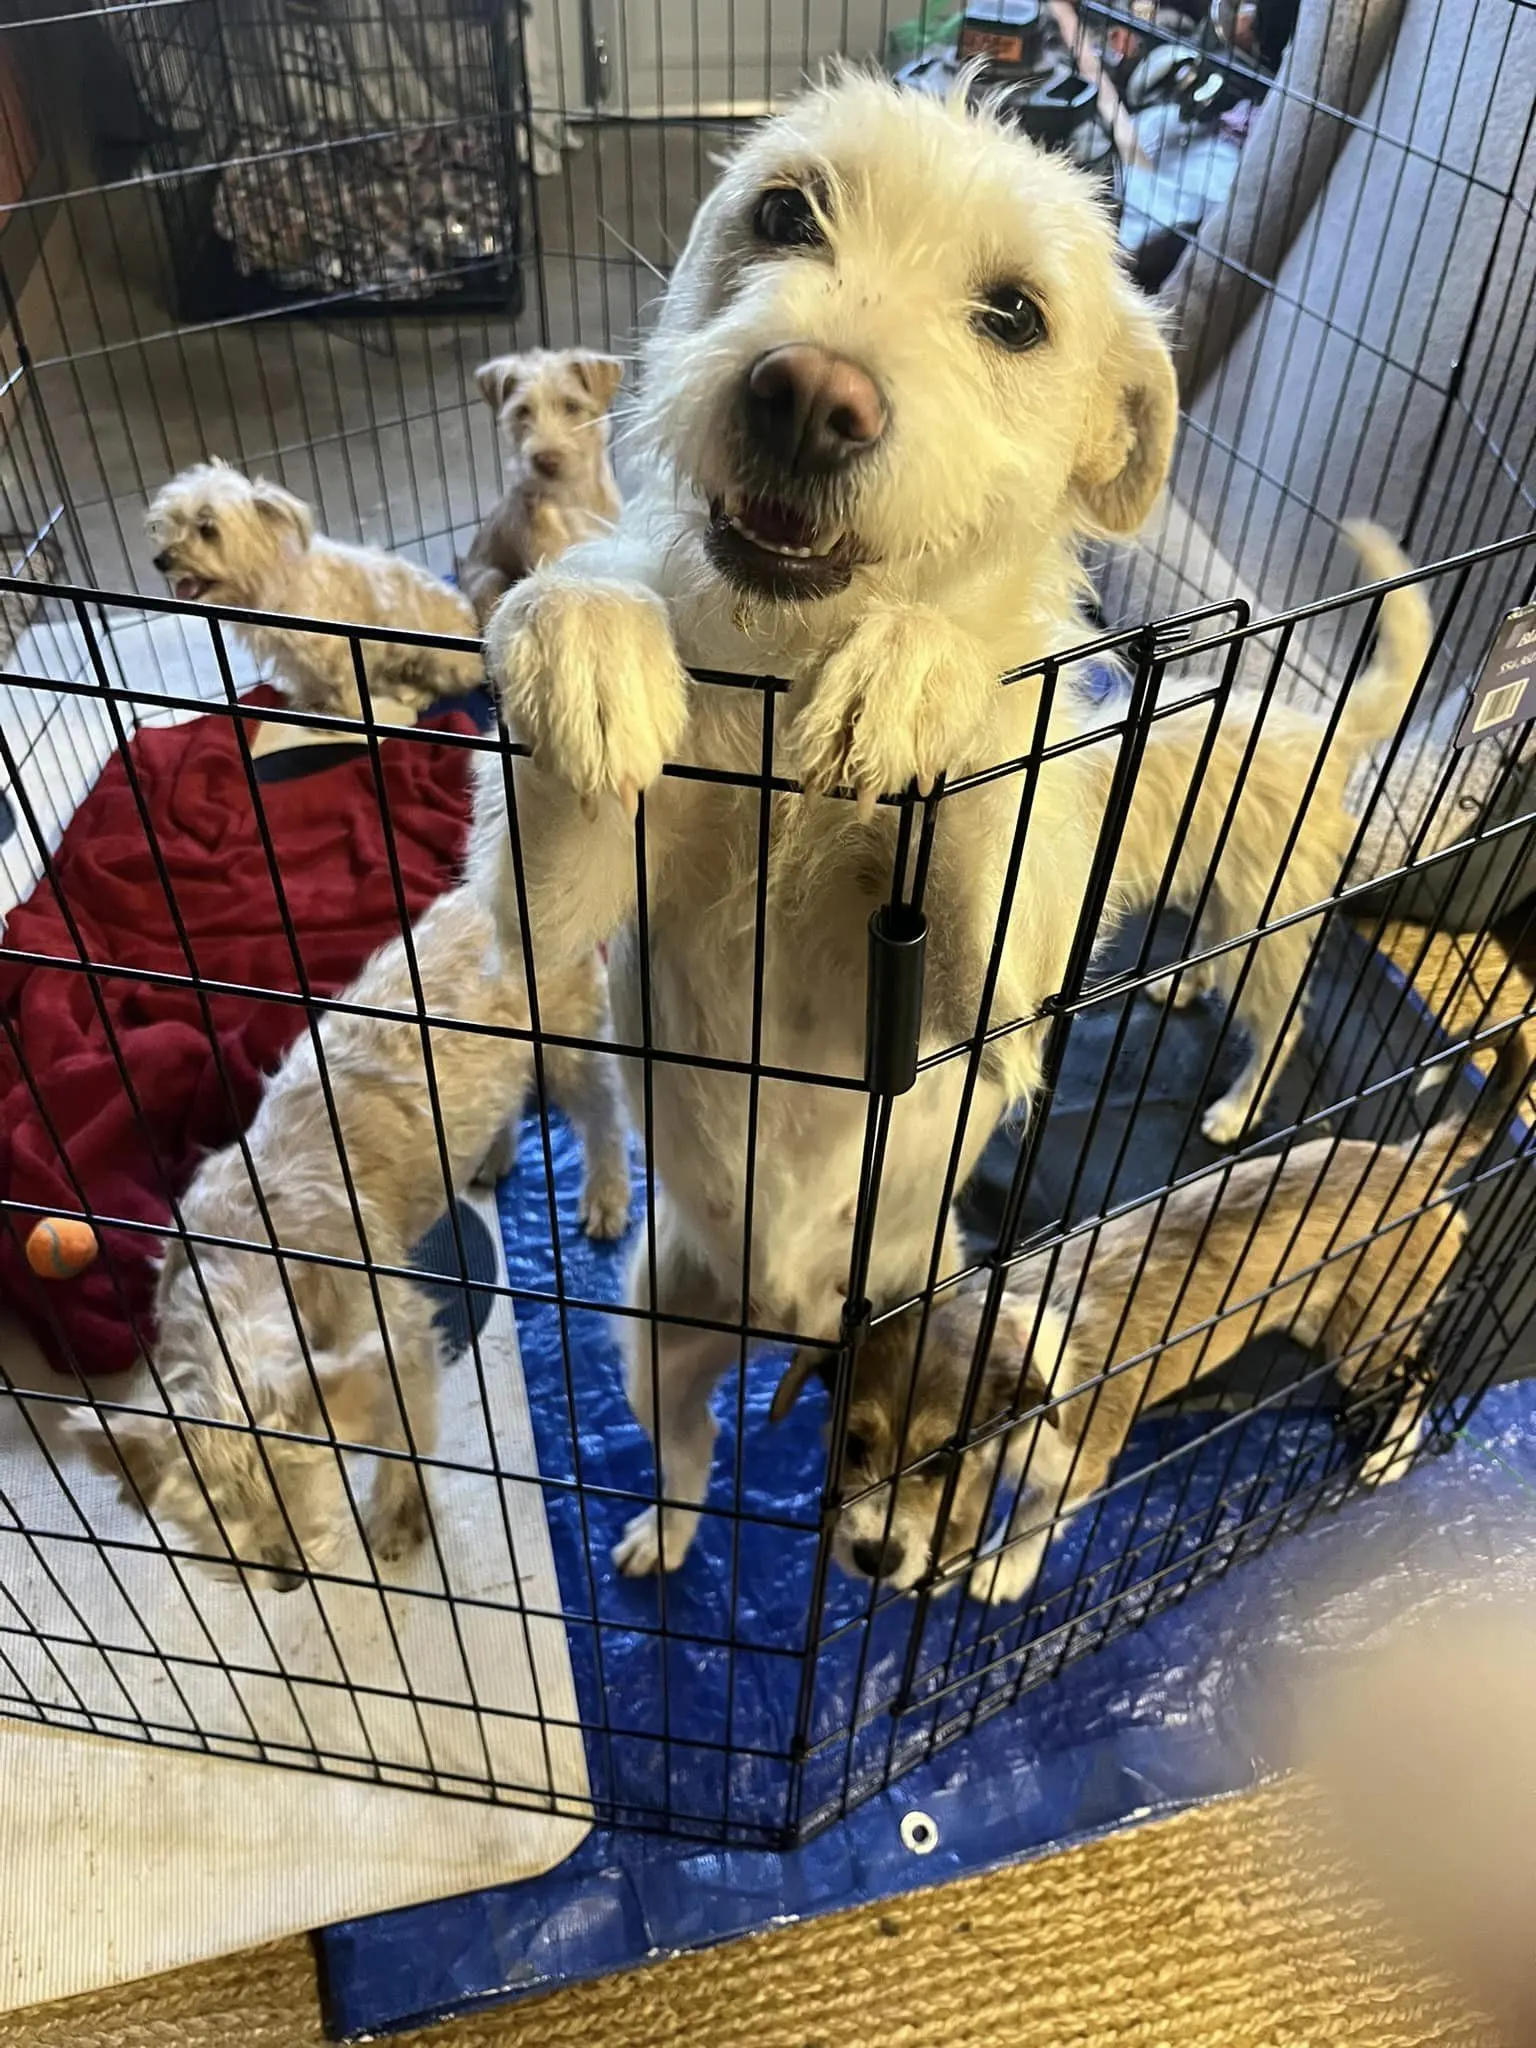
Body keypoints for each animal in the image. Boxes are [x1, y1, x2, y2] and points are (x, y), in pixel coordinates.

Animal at [69, 892, 532, 1581]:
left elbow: (405, 1425)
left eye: (299, 1477)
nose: (286, 1577)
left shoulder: (395, 1331)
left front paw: (398, 1514)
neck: (250, 1252)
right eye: (215, 1510)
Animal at [145, 456, 481, 720]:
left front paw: (348, 713)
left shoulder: (342, 651)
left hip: (441, 663)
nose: (160, 561)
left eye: (207, 529)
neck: (275, 584)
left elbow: (351, 694)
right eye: (171, 522)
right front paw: (310, 704)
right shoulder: (298, 662)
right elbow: (312, 685)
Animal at [456, 348, 626, 626]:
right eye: (522, 411)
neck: (572, 498)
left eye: (572, 406)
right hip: (490, 578)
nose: (546, 461)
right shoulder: (548, 562)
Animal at [475, 72, 1187, 1572]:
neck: (788, 652)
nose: (809, 397)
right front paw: (588, 641)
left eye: (1015, 313)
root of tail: (789, 1322)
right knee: (689, 1447)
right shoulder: (550, 914)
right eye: (786, 212)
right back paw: (665, 1533)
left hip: (924, 1291)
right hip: (651, 1327)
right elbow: (583, 614)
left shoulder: (996, 993)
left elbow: (985, 745)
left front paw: (920, 675)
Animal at [774, 1040, 1531, 1597]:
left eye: (939, 1460)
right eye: (852, 1444)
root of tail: (1413, 1159)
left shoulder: (1079, 1469)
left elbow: (1031, 1520)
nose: (873, 1559)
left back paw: (1392, 1456)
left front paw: (1000, 1571)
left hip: (1369, 1337)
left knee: (1425, 1372)